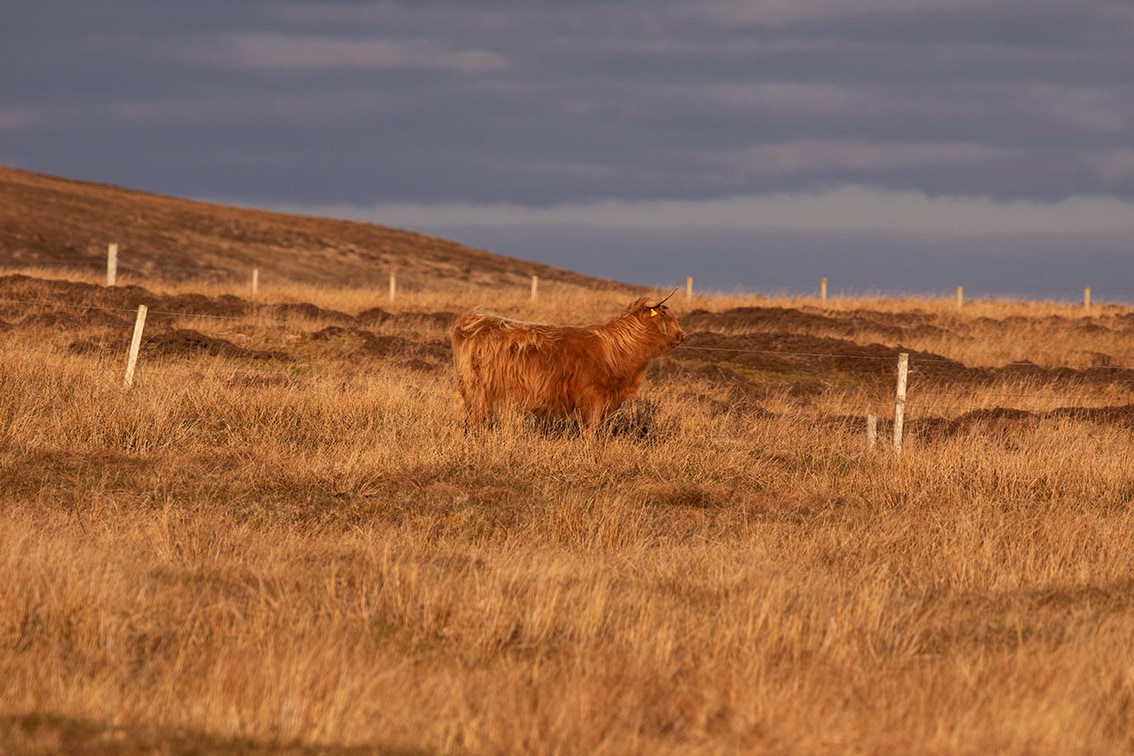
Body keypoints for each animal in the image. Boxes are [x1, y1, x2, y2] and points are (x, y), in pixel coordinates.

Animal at [449, 292, 680, 428]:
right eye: (665, 316)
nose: (682, 335)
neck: (617, 349)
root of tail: (473, 319)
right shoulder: (593, 396)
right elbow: (591, 428)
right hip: (477, 388)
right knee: (476, 415)